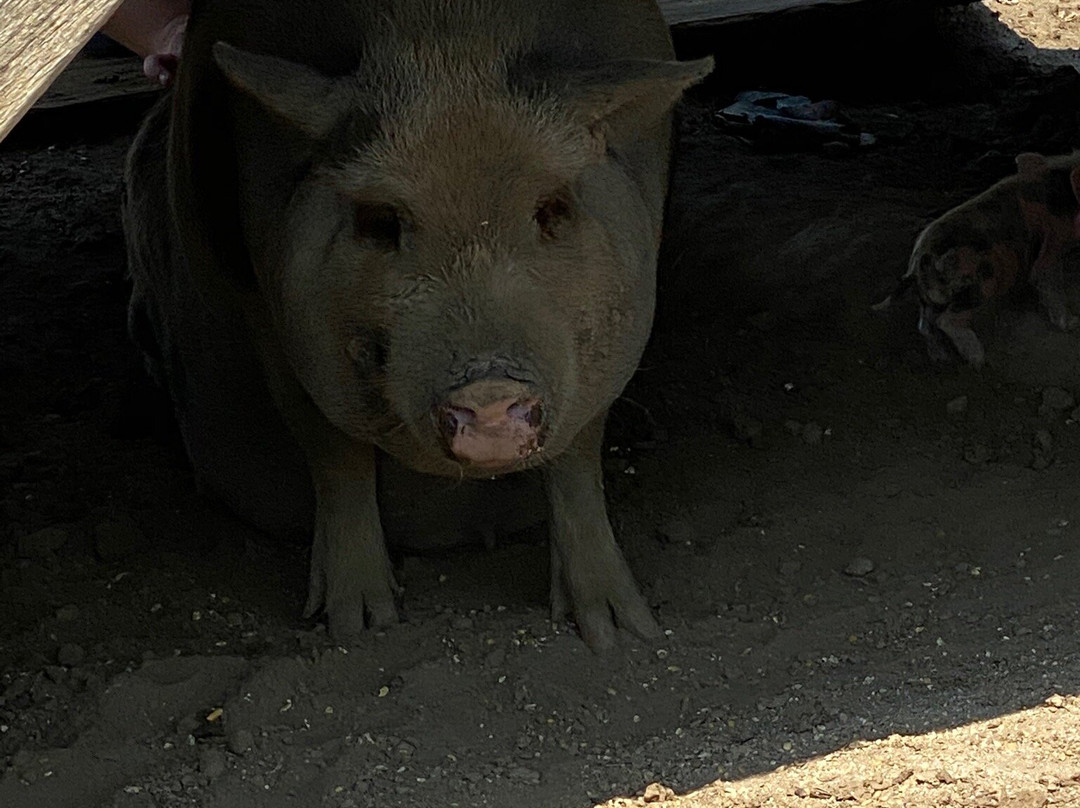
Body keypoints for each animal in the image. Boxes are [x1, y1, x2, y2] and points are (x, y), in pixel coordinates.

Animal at [122, 0, 712, 648]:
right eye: (381, 221)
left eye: (552, 208)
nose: (488, 392)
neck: (445, 42)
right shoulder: (269, 312)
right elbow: (334, 449)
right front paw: (358, 626)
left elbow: (578, 454)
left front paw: (622, 631)